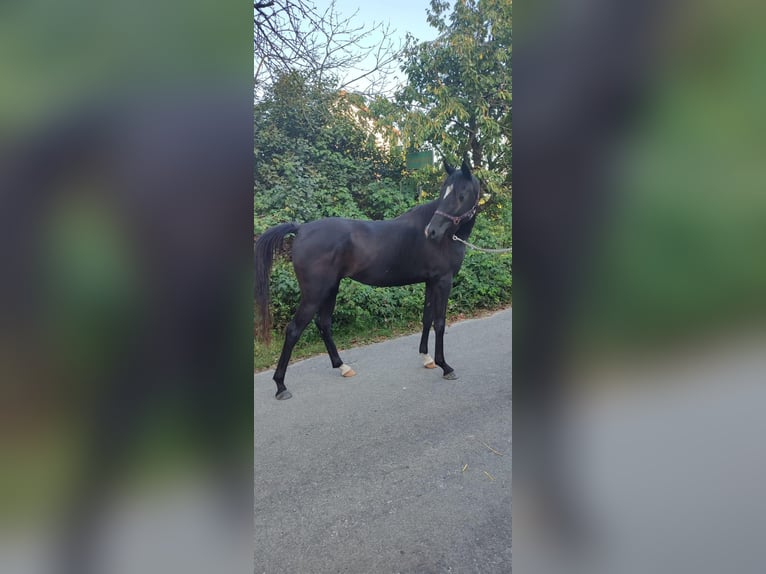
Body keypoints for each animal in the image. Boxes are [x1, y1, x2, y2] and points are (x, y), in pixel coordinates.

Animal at [255, 158, 484, 400]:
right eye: (444, 193)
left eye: (461, 194)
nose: (431, 232)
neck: (446, 237)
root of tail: (301, 229)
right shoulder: (443, 281)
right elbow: (440, 323)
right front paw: (445, 367)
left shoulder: (431, 282)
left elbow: (427, 318)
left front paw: (427, 358)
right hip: (314, 294)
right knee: (294, 330)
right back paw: (281, 386)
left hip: (331, 288)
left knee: (324, 323)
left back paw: (342, 366)